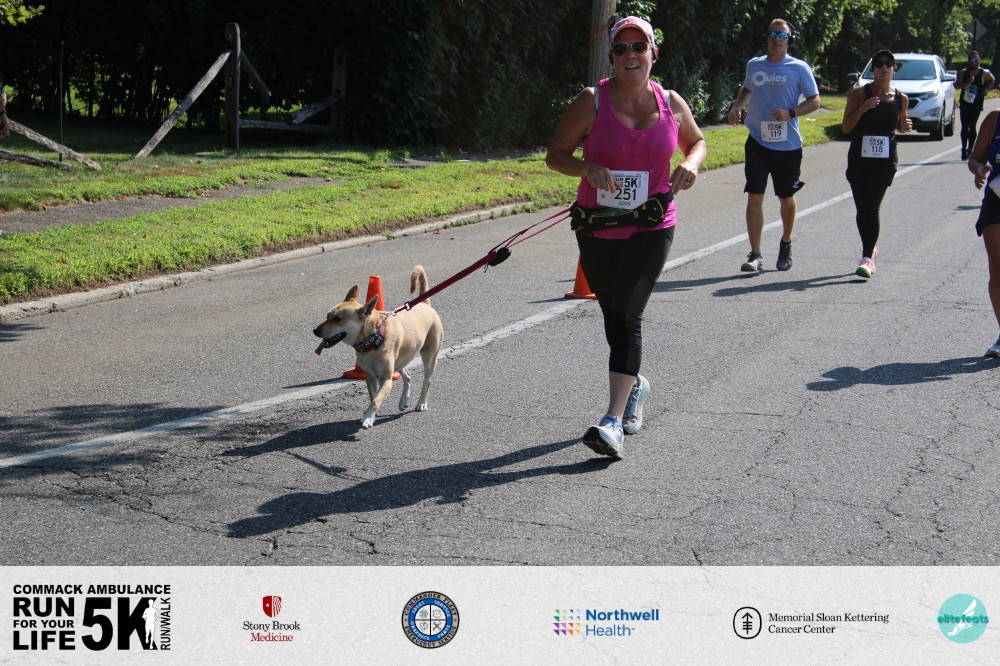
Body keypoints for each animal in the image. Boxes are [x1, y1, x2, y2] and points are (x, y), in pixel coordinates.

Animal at [313, 266, 444, 428]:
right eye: (327, 315)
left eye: (338, 319)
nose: (315, 330)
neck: (373, 338)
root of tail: (425, 304)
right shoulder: (369, 376)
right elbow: (372, 396)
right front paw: (370, 414)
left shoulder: (386, 379)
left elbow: (376, 400)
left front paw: (369, 418)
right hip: (401, 358)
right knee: (407, 376)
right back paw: (404, 401)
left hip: (429, 357)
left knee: (427, 381)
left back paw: (421, 403)